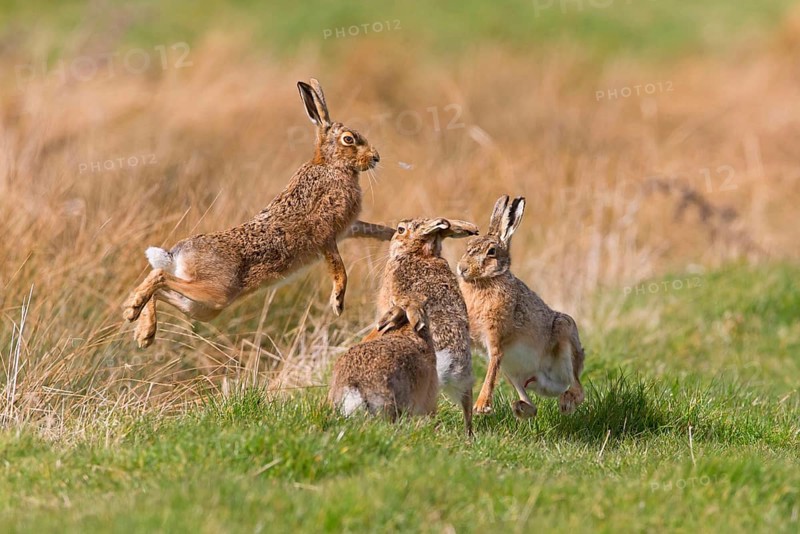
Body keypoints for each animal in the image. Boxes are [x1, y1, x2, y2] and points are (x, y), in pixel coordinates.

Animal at [122, 78, 392, 348]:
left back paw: (143, 329)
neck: (332, 165)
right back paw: (134, 309)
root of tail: (176, 254)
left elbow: (373, 229)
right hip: (217, 291)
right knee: (159, 276)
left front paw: (394, 234)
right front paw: (337, 301)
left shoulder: (349, 227)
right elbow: (339, 268)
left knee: (164, 292)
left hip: (203, 306)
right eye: (349, 139)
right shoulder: (325, 233)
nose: (376, 158)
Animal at [378, 217, 479, 436]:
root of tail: (449, 359)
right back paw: (468, 434)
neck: (420, 253)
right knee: (466, 403)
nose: (392, 240)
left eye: (401, 229)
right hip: (465, 377)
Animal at [456, 196, 586, 418]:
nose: (462, 268)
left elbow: (491, 369)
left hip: (565, 332)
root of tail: (551, 386)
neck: (484, 281)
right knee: (531, 403)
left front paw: (481, 406)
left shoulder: (496, 338)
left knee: (578, 388)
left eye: (491, 252)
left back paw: (566, 402)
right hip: (513, 373)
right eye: (469, 245)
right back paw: (522, 407)